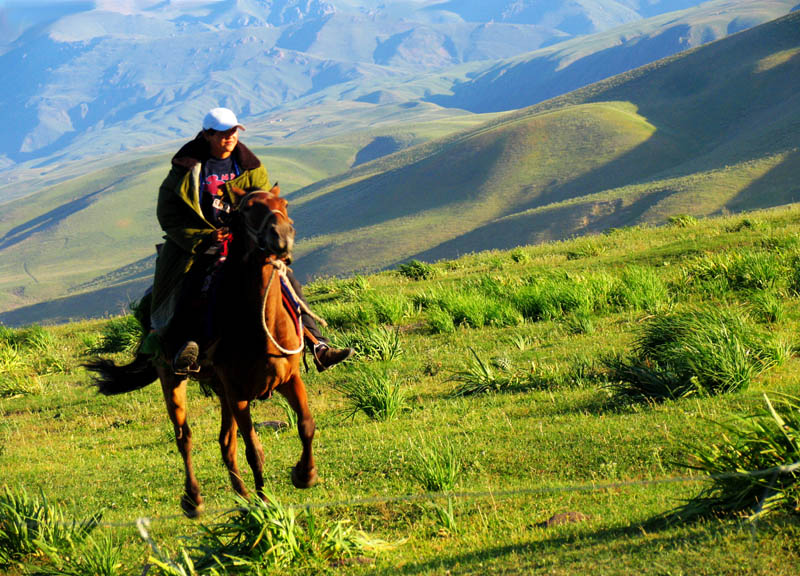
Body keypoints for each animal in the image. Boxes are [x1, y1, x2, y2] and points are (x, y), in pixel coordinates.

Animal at [84, 186, 316, 516]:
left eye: (283, 203)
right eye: (249, 209)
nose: (283, 236)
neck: (259, 326)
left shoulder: (288, 379)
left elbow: (306, 425)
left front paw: (304, 475)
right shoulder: (238, 393)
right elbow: (254, 450)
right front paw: (265, 503)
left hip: (220, 390)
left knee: (225, 442)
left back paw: (242, 498)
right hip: (174, 380)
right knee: (185, 437)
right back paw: (194, 500)